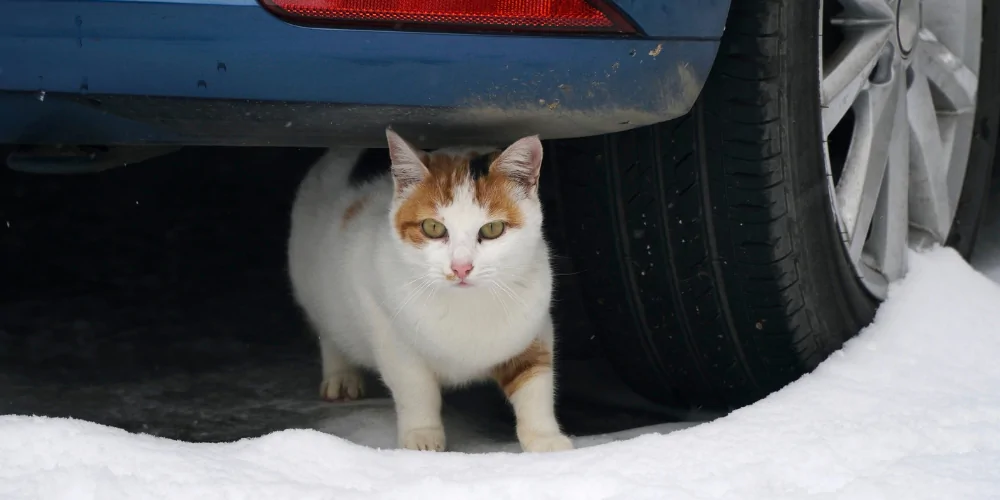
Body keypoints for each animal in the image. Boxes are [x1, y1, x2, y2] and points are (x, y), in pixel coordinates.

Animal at [286, 126, 576, 454]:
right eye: (433, 228)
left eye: (492, 229)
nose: (461, 267)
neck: (467, 306)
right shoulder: (383, 320)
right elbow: (415, 387)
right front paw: (421, 436)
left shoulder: (535, 324)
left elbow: (536, 382)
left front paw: (545, 439)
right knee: (328, 332)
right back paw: (341, 376)